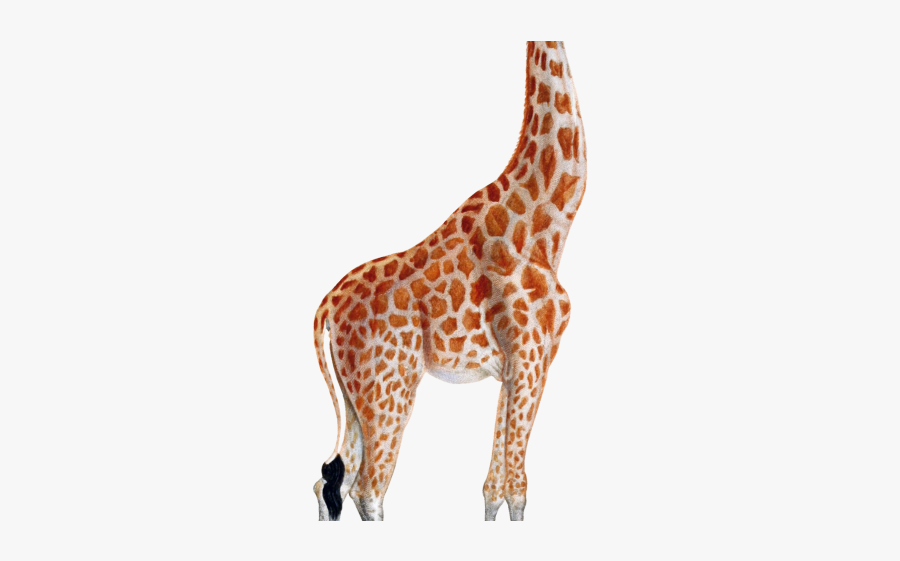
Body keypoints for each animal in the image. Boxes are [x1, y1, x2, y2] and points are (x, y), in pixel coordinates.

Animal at [312, 41, 586, 521]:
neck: (545, 222)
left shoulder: (516, 367)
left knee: (331, 479)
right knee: (367, 488)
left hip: (355, 394)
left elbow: (494, 486)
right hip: (389, 390)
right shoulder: (531, 355)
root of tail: (326, 306)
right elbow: (518, 486)